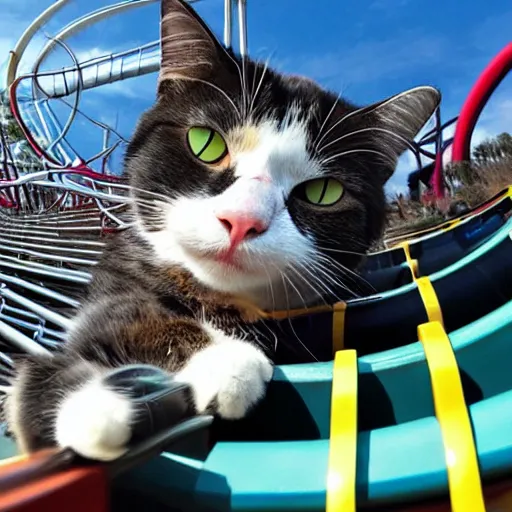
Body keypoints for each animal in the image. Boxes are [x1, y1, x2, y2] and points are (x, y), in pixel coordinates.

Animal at [2, 0, 440, 460]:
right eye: (206, 143)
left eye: (323, 191)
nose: (242, 219)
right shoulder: (119, 274)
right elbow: (118, 314)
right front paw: (103, 404)